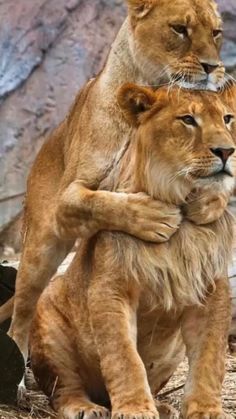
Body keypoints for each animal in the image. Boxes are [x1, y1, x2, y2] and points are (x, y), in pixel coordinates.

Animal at [5, 0, 229, 364]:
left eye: (217, 32)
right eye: (179, 29)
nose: (214, 67)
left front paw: (204, 203)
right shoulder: (67, 198)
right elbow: (101, 201)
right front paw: (155, 218)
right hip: (41, 247)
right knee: (23, 312)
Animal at [29, 83, 236, 419]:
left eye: (227, 118)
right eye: (188, 119)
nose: (227, 151)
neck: (181, 201)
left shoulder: (212, 292)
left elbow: (209, 358)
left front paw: (206, 411)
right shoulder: (111, 290)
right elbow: (124, 357)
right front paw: (136, 409)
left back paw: (162, 406)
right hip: (48, 321)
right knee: (63, 389)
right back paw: (86, 407)